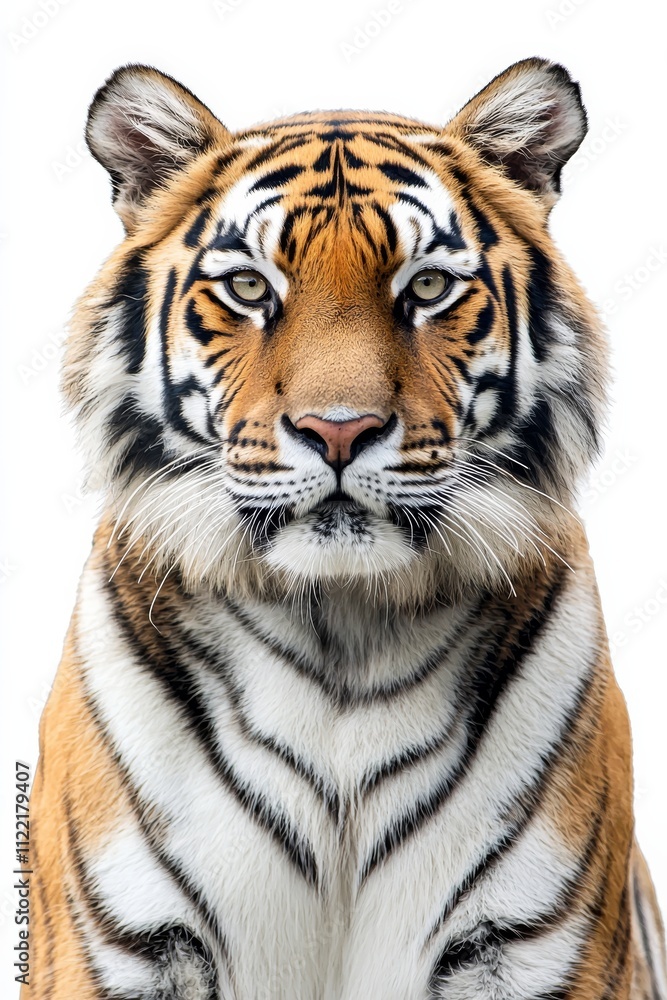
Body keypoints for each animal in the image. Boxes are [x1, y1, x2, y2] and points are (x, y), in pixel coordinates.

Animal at [23, 56, 666, 1000]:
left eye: (426, 287)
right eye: (249, 287)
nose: (337, 430)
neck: (342, 630)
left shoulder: (525, 944)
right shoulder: (131, 944)